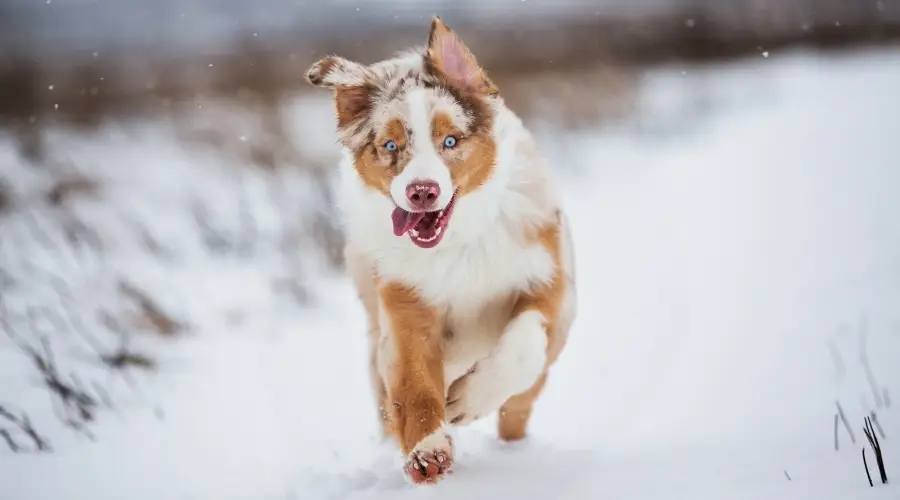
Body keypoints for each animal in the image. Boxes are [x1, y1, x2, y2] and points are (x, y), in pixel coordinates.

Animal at [308, 16, 576, 484]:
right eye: (391, 146)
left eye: (449, 141)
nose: (422, 191)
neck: (458, 241)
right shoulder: (405, 310)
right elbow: (414, 385)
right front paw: (427, 452)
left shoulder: (548, 282)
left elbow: (525, 346)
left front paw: (467, 400)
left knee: (518, 405)